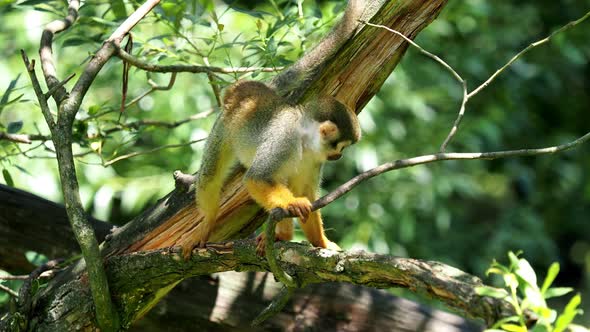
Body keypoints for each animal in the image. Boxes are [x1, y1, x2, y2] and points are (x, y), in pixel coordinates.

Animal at [185, 80, 360, 256]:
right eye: (342, 147)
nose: (339, 156)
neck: (304, 139)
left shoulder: (314, 159)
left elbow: (305, 192)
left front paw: (321, 242)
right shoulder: (284, 138)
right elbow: (256, 178)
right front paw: (292, 203)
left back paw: (282, 235)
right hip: (222, 126)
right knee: (210, 175)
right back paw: (208, 220)